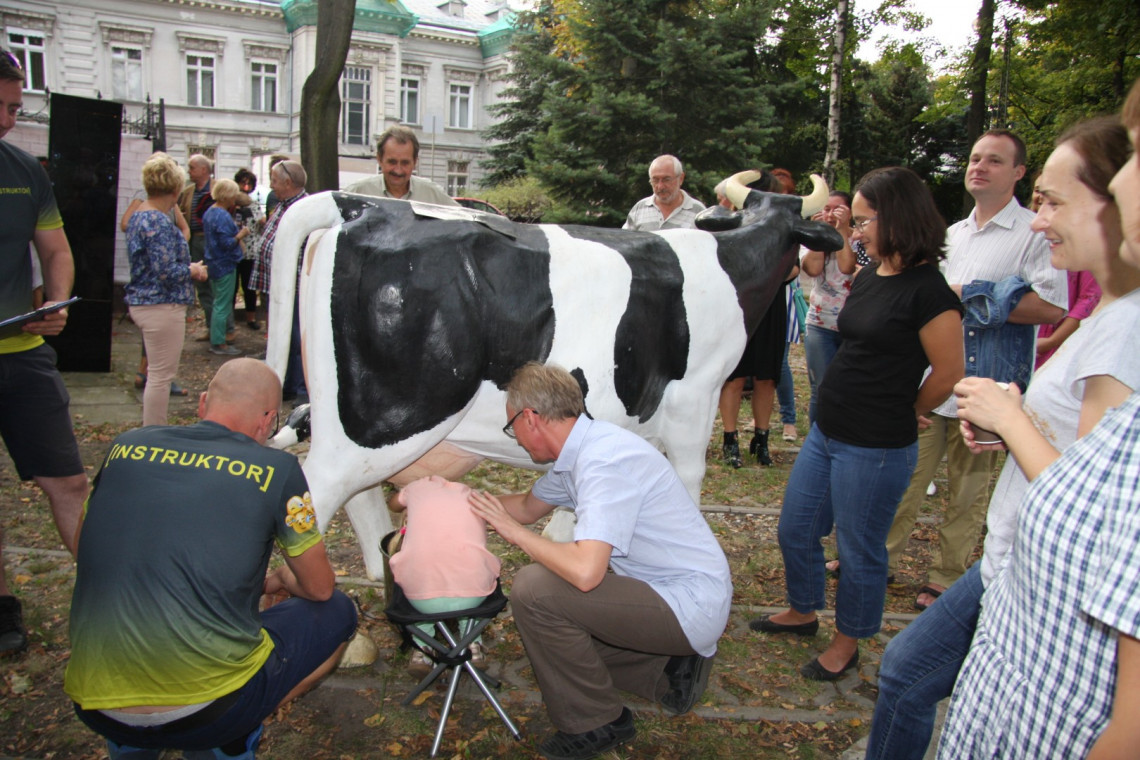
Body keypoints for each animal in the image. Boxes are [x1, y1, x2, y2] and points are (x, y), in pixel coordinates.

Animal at [262, 174, 843, 576]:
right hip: (390, 416)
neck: (728, 264)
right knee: (316, 495)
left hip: (353, 416)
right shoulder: (693, 400)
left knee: (359, 502)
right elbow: (688, 480)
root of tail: (362, 203)